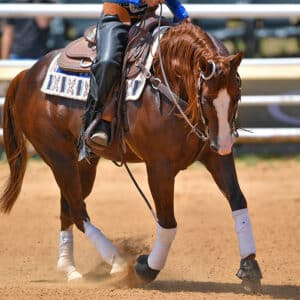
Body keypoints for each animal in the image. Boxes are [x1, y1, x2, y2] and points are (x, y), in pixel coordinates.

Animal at [0, 22, 262, 290]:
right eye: (207, 100)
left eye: (237, 95)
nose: (225, 143)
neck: (168, 83)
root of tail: (28, 75)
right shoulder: (159, 167)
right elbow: (168, 223)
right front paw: (146, 268)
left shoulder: (216, 157)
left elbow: (238, 201)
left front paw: (249, 268)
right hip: (58, 157)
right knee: (77, 210)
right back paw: (116, 261)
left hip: (83, 163)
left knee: (69, 207)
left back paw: (69, 269)